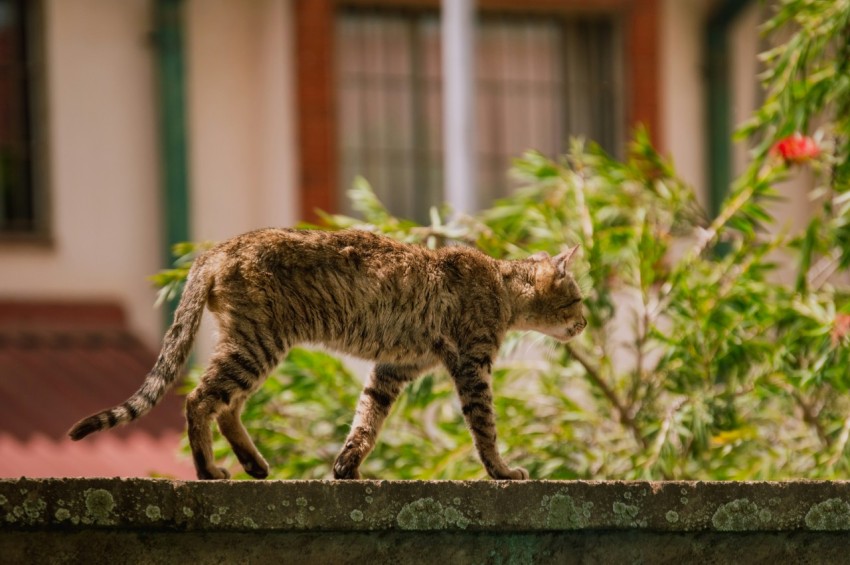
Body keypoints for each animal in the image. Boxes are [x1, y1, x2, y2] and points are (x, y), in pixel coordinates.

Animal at [69, 227, 584, 478]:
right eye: (578, 300)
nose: (582, 324)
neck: (501, 285)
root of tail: (216, 250)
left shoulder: (393, 368)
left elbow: (366, 421)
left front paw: (347, 467)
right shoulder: (473, 366)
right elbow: (485, 429)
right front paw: (502, 471)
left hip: (252, 344)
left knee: (226, 406)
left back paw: (253, 464)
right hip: (256, 344)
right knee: (200, 400)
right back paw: (208, 470)